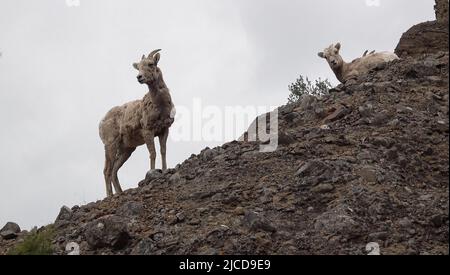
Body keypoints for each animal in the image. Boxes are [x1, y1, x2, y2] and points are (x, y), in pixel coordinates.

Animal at [100, 50, 176, 198]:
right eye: (139, 67)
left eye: (151, 64)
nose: (139, 77)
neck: (161, 106)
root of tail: (101, 122)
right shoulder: (148, 132)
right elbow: (153, 153)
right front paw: (152, 173)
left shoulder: (164, 130)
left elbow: (163, 151)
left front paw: (164, 170)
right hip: (110, 145)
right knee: (107, 170)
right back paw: (110, 196)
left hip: (127, 149)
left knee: (114, 170)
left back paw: (120, 192)